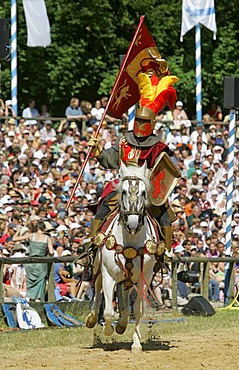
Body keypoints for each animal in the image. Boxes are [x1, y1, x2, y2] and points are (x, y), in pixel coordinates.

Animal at [85, 163, 163, 352]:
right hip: (99, 267)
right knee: (97, 289)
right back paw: (92, 318)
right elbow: (108, 312)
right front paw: (108, 330)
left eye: (143, 192)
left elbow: (138, 309)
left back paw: (122, 323)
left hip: (129, 277)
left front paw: (136, 344)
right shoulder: (109, 275)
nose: (133, 223)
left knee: (125, 297)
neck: (131, 240)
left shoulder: (144, 278)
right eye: (124, 191)